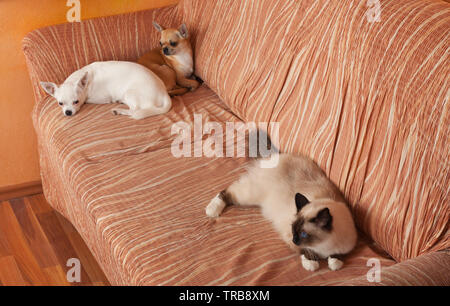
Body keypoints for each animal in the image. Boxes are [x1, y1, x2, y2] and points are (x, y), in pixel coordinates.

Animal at [207, 152, 358, 270]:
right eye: (294, 230)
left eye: (303, 234)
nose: (295, 239)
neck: (323, 245)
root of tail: (278, 155)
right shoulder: (289, 238)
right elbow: (305, 251)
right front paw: (312, 264)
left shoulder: (346, 245)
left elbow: (338, 258)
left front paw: (334, 262)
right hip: (249, 195)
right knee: (226, 192)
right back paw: (212, 210)